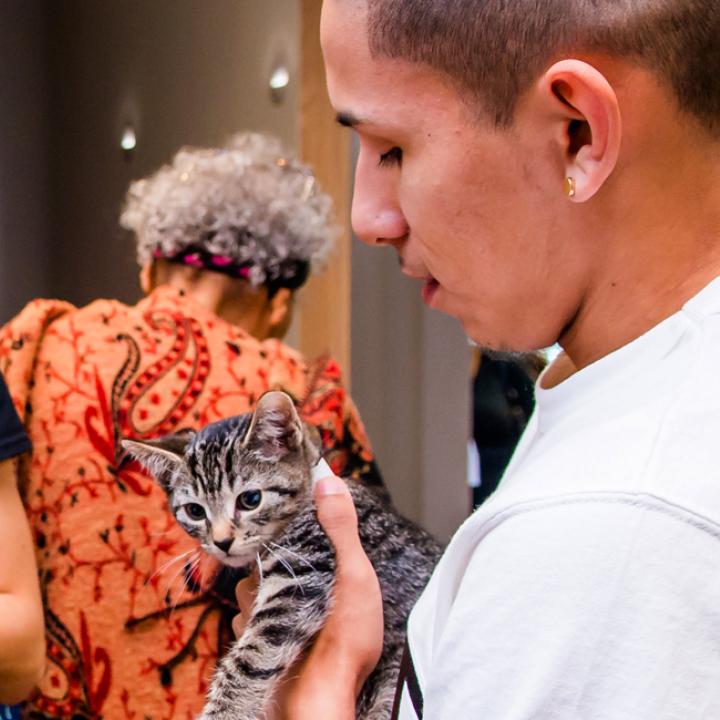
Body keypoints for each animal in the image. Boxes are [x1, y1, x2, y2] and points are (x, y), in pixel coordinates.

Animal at [122, 394, 438, 720]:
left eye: (250, 500)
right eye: (195, 511)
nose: (222, 542)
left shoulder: (303, 567)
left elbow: (251, 655)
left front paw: (225, 711)